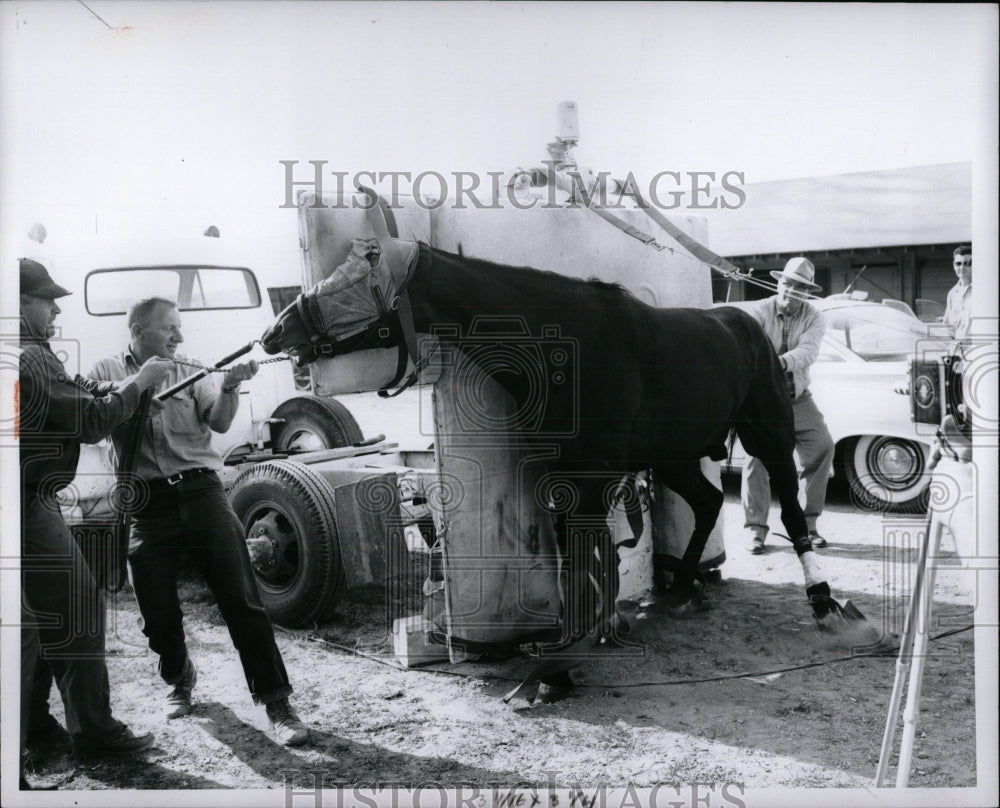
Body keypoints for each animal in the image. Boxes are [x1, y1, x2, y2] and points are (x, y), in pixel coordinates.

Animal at [262, 235, 856, 700]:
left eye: (358, 275)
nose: (277, 330)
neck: (568, 349)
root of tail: (751, 327)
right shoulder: (563, 479)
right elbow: (576, 558)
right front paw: (573, 644)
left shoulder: (590, 481)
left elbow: (580, 558)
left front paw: (559, 668)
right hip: (673, 454)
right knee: (709, 501)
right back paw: (686, 587)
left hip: (769, 436)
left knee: (793, 509)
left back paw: (822, 601)